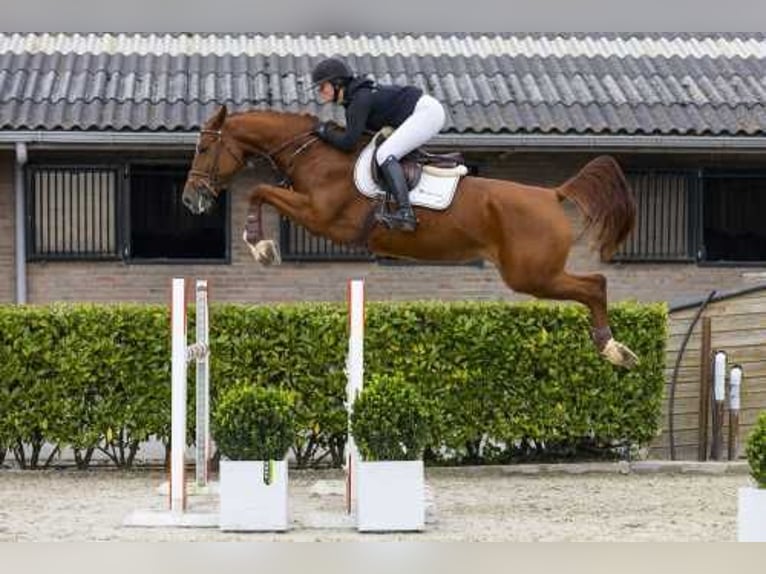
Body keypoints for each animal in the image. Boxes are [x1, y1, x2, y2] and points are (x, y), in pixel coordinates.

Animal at [184, 104, 640, 368]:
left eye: (204, 150)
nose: (191, 199)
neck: (315, 155)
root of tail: (552, 194)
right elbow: (263, 191)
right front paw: (260, 244)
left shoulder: (323, 218)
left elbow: (260, 191)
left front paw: (260, 246)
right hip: (534, 274)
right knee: (593, 284)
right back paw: (614, 348)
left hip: (532, 275)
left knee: (595, 285)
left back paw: (613, 349)